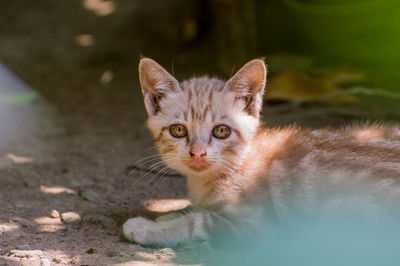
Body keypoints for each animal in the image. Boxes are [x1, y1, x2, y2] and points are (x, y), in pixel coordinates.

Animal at [122, 57, 400, 247]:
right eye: (178, 130)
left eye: (221, 131)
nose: (198, 153)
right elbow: (192, 209)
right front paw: (164, 217)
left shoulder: (256, 226)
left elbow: (198, 221)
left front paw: (148, 228)